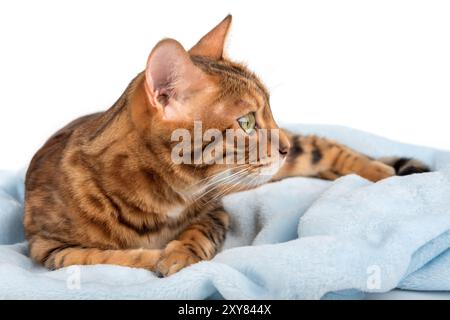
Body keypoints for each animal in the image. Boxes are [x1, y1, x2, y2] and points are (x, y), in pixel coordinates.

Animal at [23, 15, 428, 276]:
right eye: (247, 122)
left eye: (269, 112)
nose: (280, 144)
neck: (161, 198)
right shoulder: (47, 248)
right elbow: (98, 258)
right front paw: (153, 259)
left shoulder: (214, 211)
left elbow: (195, 235)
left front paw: (177, 255)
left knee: (321, 145)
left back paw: (381, 171)